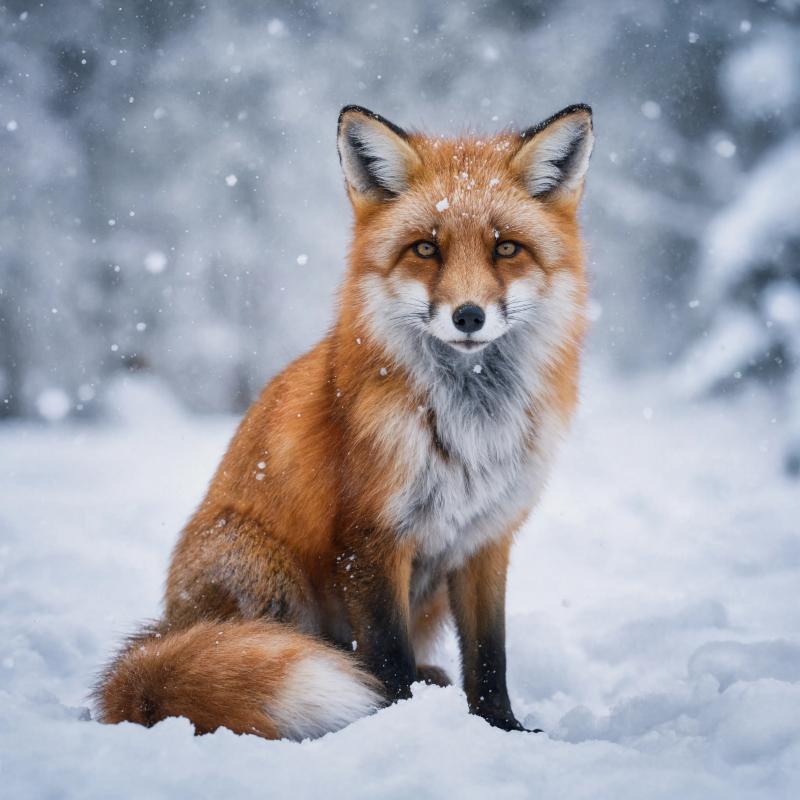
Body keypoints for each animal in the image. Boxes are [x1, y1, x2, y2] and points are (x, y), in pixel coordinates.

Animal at [94, 102, 595, 740]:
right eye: (425, 249)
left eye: (506, 249)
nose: (468, 316)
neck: (469, 427)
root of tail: (170, 623)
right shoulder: (370, 538)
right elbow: (386, 655)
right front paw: (396, 721)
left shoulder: (486, 539)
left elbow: (489, 655)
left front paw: (502, 729)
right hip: (269, 580)